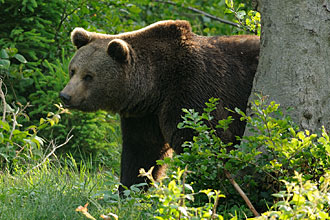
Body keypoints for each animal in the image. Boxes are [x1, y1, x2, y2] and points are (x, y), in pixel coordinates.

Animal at [60, 20, 260, 189]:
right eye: (73, 70)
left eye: (89, 76)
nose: (65, 95)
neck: (156, 86)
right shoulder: (145, 115)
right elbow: (141, 150)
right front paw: (129, 190)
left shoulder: (194, 91)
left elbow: (207, 140)